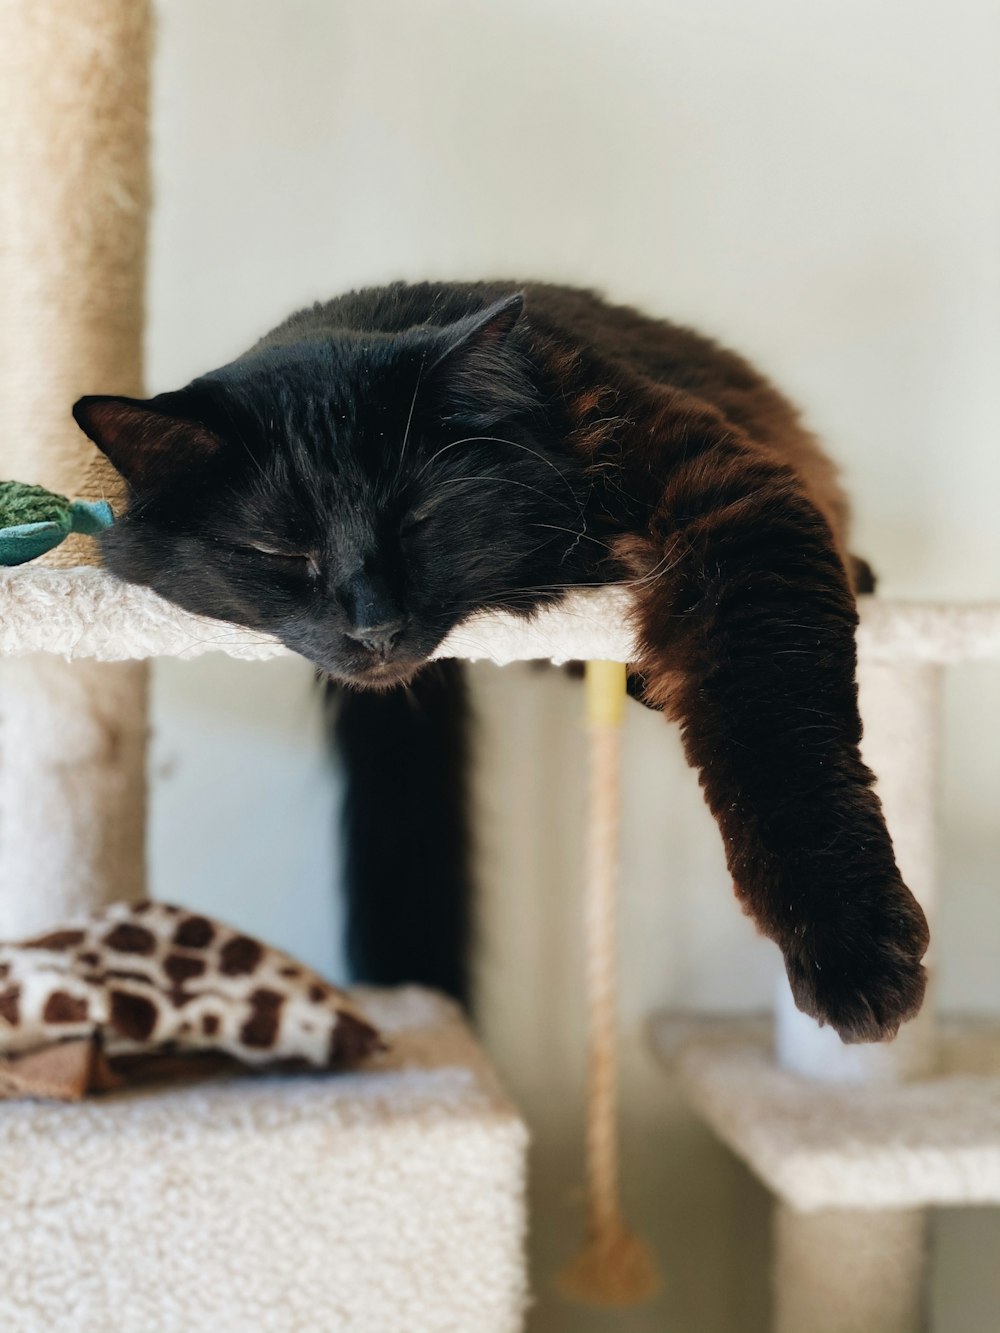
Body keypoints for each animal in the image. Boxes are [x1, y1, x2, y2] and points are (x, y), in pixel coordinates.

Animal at [74, 281, 938, 1039]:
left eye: (417, 519)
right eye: (280, 550)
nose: (374, 626)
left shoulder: (735, 507)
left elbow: (784, 746)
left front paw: (854, 952)